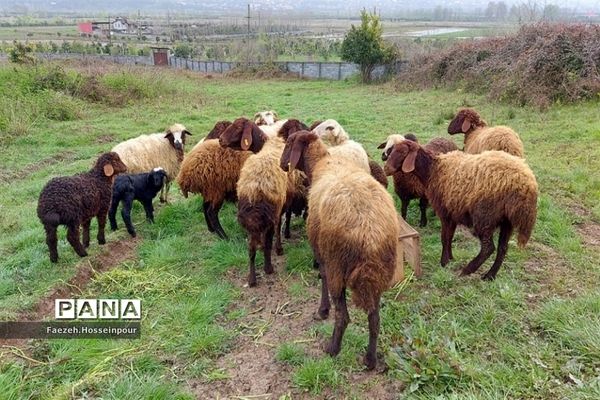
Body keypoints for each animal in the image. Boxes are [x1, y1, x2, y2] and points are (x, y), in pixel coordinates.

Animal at [219, 117, 288, 286]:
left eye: (238, 127)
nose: (220, 140)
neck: (265, 146)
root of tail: (255, 190)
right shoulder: (280, 206)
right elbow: (278, 227)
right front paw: (279, 249)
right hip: (267, 218)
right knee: (266, 244)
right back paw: (268, 269)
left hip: (250, 222)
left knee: (251, 249)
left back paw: (252, 279)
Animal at [280, 130, 398, 368]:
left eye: (287, 144)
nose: (280, 164)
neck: (321, 164)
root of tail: (371, 235)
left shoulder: (322, 252)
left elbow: (323, 277)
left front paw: (322, 310)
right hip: (378, 276)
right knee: (375, 319)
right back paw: (370, 360)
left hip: (339, 263)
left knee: (343, 316)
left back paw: (332, 349)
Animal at [384, 141, 540, 282]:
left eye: (402, 152)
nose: (386, 169)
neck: (433, 170)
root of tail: (527, 184)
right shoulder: (453, 213)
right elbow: (450, 237)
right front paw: (451, 257)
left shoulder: (445, 212)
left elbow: (444, 237)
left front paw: (444, 262)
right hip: (506, 221)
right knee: (502, 248)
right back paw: (490, 276)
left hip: (485, 216)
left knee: (489, 247)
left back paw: (468, 270)